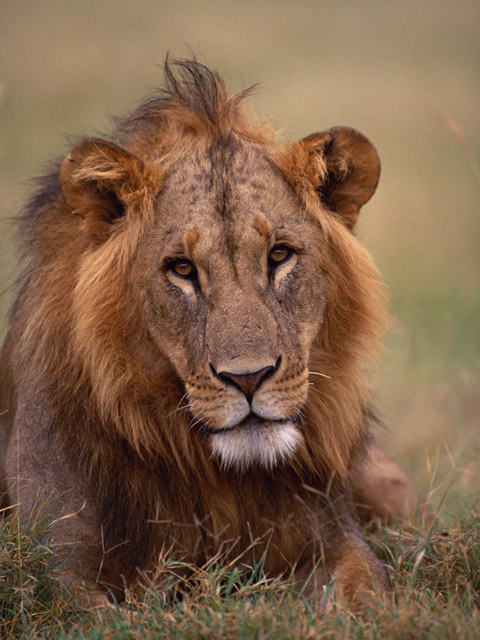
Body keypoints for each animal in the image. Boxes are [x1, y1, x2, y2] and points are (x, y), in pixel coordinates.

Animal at [0, 60, 420, 608]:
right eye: (182, 268)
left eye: (279, 255)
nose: (249, 379)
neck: (215, 478)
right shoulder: (53, 570)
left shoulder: (330, 534)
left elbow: (367, 586)